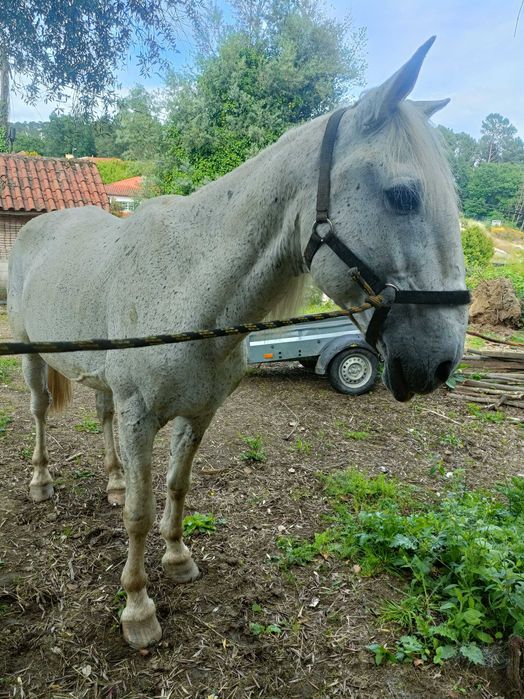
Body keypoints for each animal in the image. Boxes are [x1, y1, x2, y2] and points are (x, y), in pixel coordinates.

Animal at [7, 37, 469, 648]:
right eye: (402, 195)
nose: (440, 362)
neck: (188, 286)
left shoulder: (198, 414)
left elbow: (176, 487)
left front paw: (178, 558)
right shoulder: (140, 417)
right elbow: (139, 513)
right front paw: (138, 608)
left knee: (101, 416)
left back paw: (111, 482)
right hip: (33, 358)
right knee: (39, 412)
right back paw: (41, 483)